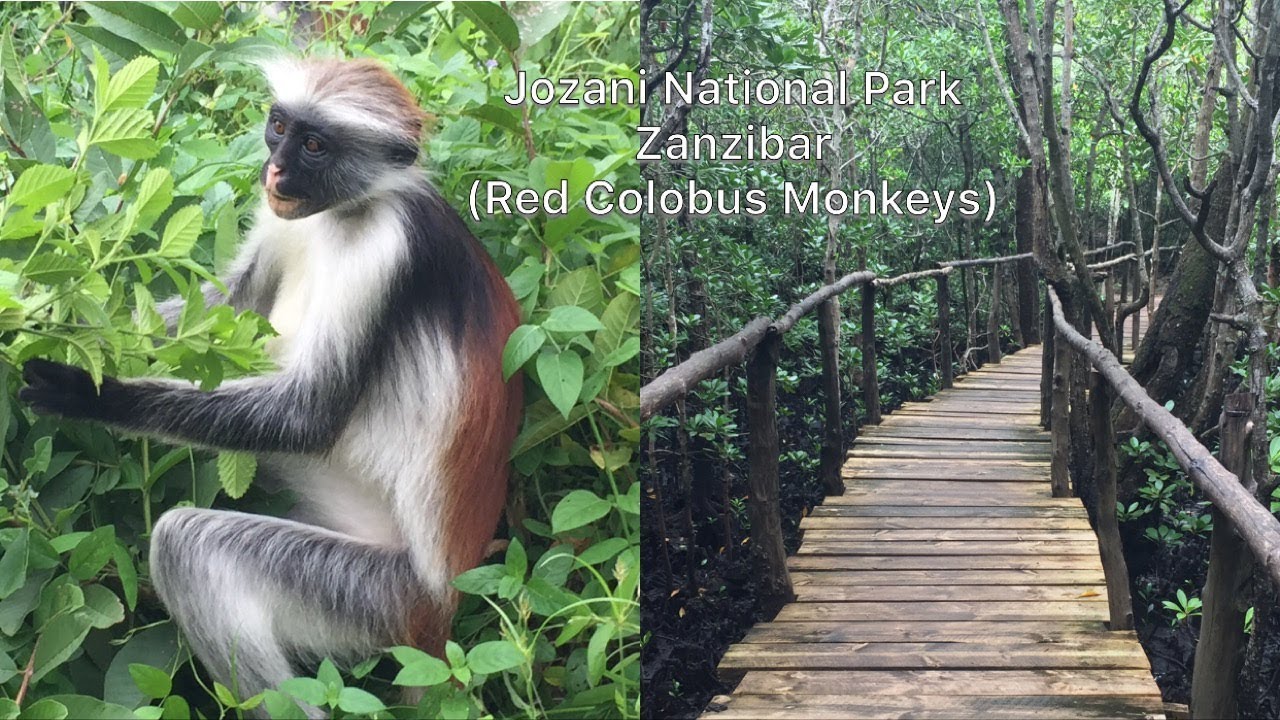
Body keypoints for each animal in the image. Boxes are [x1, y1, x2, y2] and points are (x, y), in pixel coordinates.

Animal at [19, 57, 522, 710]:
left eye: (314, 146)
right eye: (279, 127)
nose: (275, 168)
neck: (346, 213)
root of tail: (442, 610)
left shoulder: (389, 249)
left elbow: (307, 417)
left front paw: (86, 393)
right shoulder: (281, 216)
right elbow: (227, 311)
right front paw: (39, 311)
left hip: (379, 593)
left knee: (188, 544)